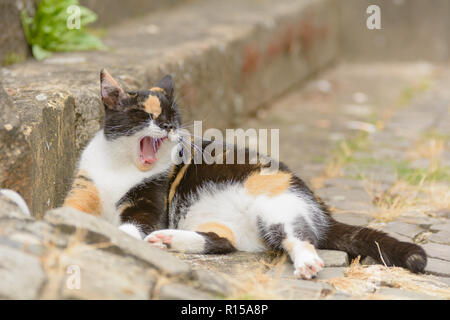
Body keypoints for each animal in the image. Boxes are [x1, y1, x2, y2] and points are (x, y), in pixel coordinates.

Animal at [61, 69, 428, 278]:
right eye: (144, 113)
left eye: (173, 116)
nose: (168, 127)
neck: (121, 166)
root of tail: (321, 208)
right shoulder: (83, 187)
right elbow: (70, 210)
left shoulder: (150, 204)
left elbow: (131, 226)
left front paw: (114, 234)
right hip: (217, 220)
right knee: (222, 241)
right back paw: (168, 240)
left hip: (277, 207)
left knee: (297, 236)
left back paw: (307, 263)